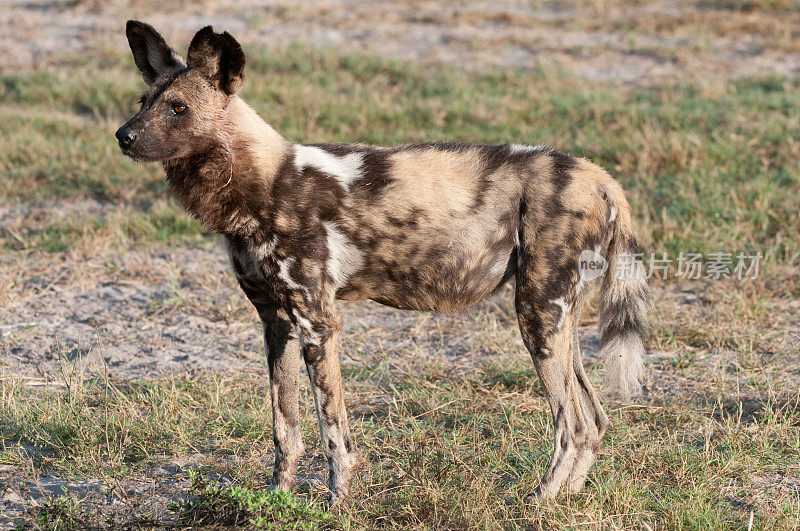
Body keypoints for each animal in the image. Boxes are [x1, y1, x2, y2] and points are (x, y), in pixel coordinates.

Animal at [114, 20, 648, 502]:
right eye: (143, 103)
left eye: (178, 108)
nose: (123, 136)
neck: (260, 187)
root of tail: (598, 175)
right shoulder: (275, 322)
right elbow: (285, 431)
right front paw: (277, 499)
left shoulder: (317, 322)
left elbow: (334, 436)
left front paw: (336, 505)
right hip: (557, 320)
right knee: (594, 419)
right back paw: (569, 498)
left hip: (537, 315)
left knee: (572, 426)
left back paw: (538, 502)